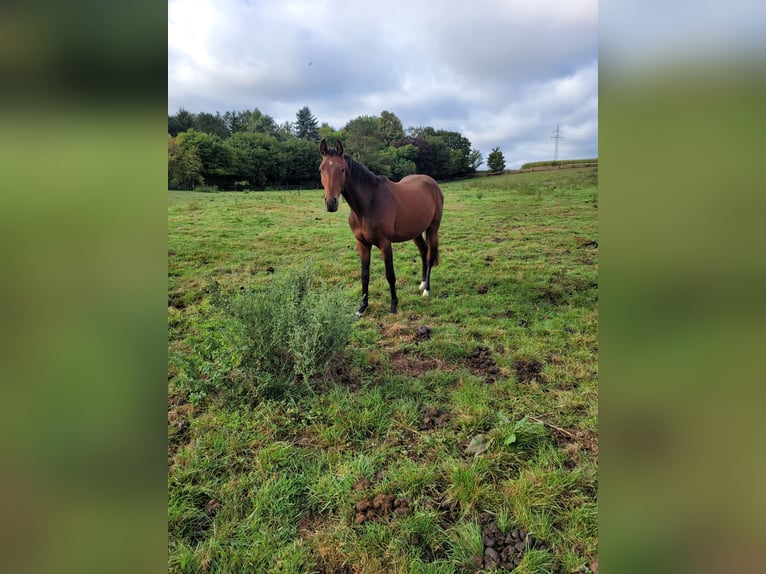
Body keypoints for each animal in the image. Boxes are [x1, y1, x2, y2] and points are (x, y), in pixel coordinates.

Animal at [319, 139, 444, 317]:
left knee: (430, 255)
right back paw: (422, 284)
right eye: (321, 169)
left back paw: (426, 290)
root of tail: (432, 183)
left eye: (341, 169)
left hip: (433, 229)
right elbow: (364, 275)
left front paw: (393, 305)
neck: (367, 205)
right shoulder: (362, 244)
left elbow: (390, 274)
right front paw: (362, 307)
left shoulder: (385, 243)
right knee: (423, 252)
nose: (331, 203)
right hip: (416, 232)